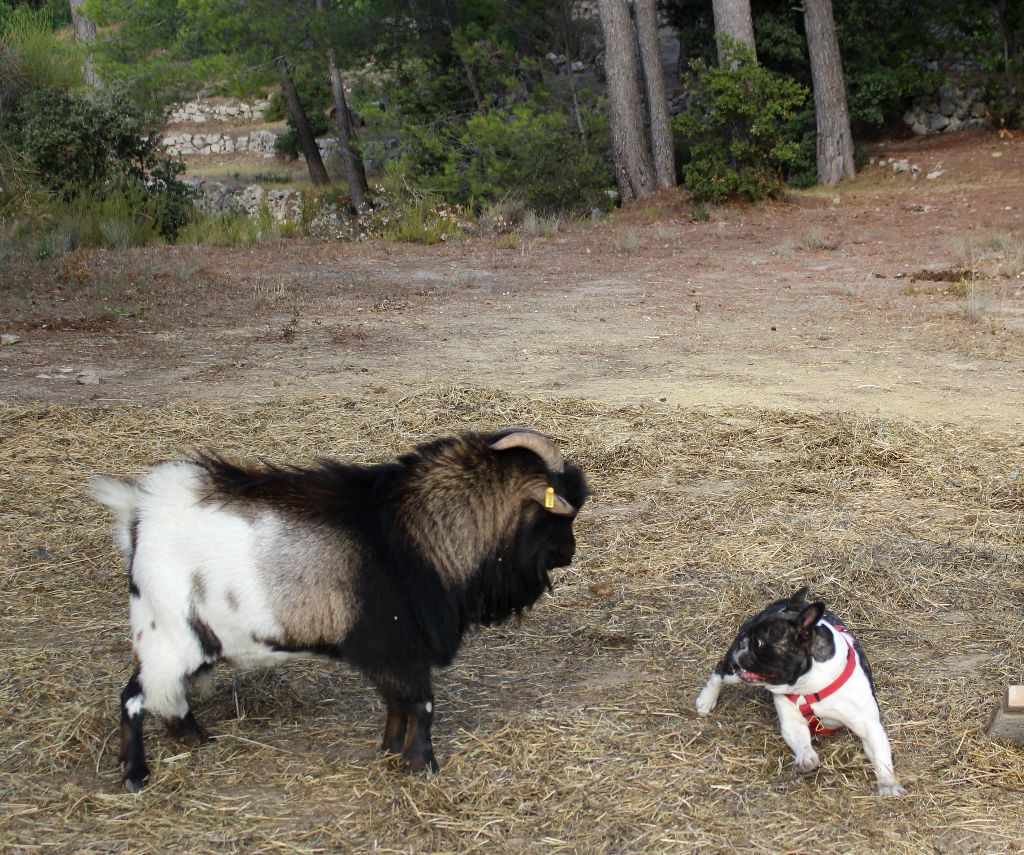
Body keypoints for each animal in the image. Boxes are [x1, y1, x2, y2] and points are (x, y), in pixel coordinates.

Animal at [96, 432, 593, 790]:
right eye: (560, 514)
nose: (569, 554)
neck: (421, 534)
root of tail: (138, 515)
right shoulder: (400, 645)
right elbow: (422, 704)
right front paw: (422, 764)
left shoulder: (391, 653)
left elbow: (397, 704)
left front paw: (391, 752)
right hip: (167, 637)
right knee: (135, 697)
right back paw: (136, 774)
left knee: (162, 696)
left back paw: (194, 738)